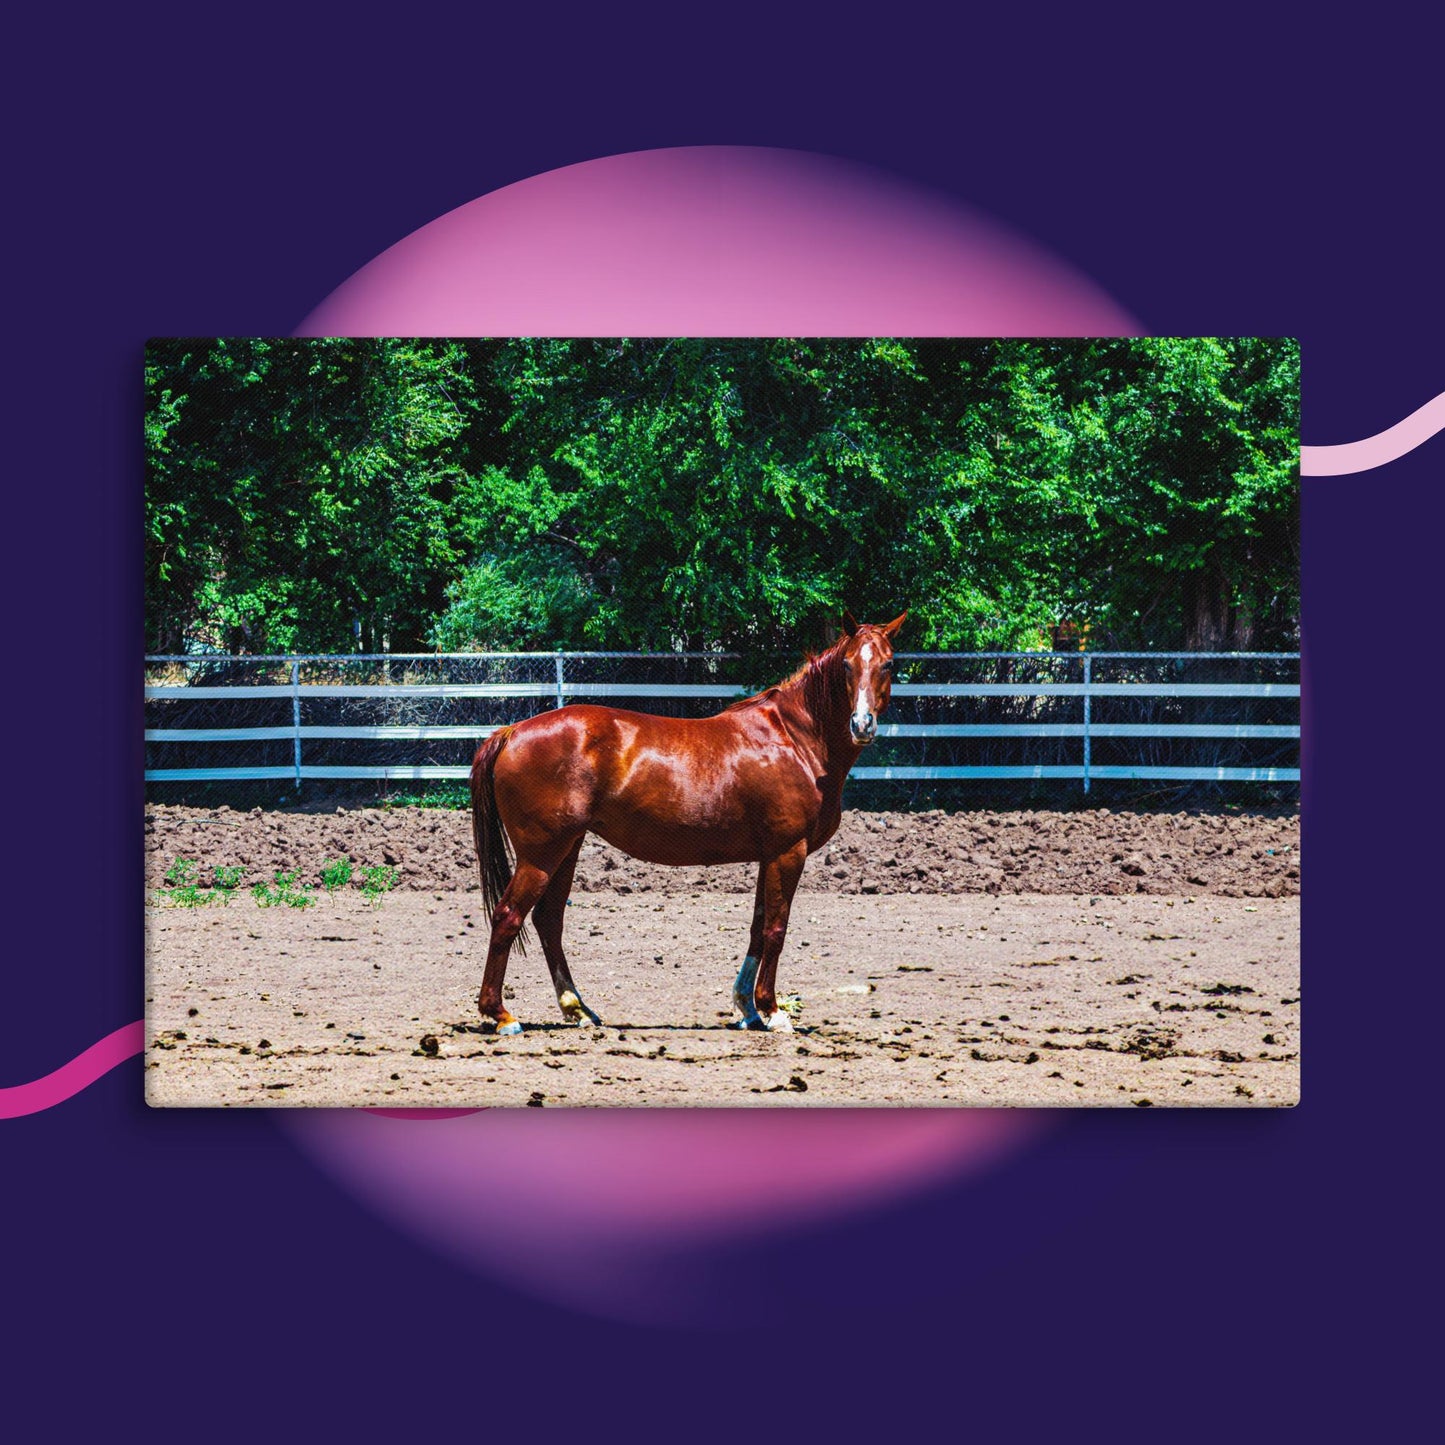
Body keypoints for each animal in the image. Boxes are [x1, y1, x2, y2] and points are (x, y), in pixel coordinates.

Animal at [471, 615, 901, 1034]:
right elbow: (775, 930)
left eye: (887, 663)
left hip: (567, 849)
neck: (793, 740)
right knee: (508, 916)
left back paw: (577, 1009)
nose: (862, 724)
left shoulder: (769, 856)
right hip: (541, 854)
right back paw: (502, 1015)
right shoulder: (787, 852)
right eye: (847, 665)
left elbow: (757, 927)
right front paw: (773, 1011)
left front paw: (747, 1008)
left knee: (548, 921)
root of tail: (511, 732)